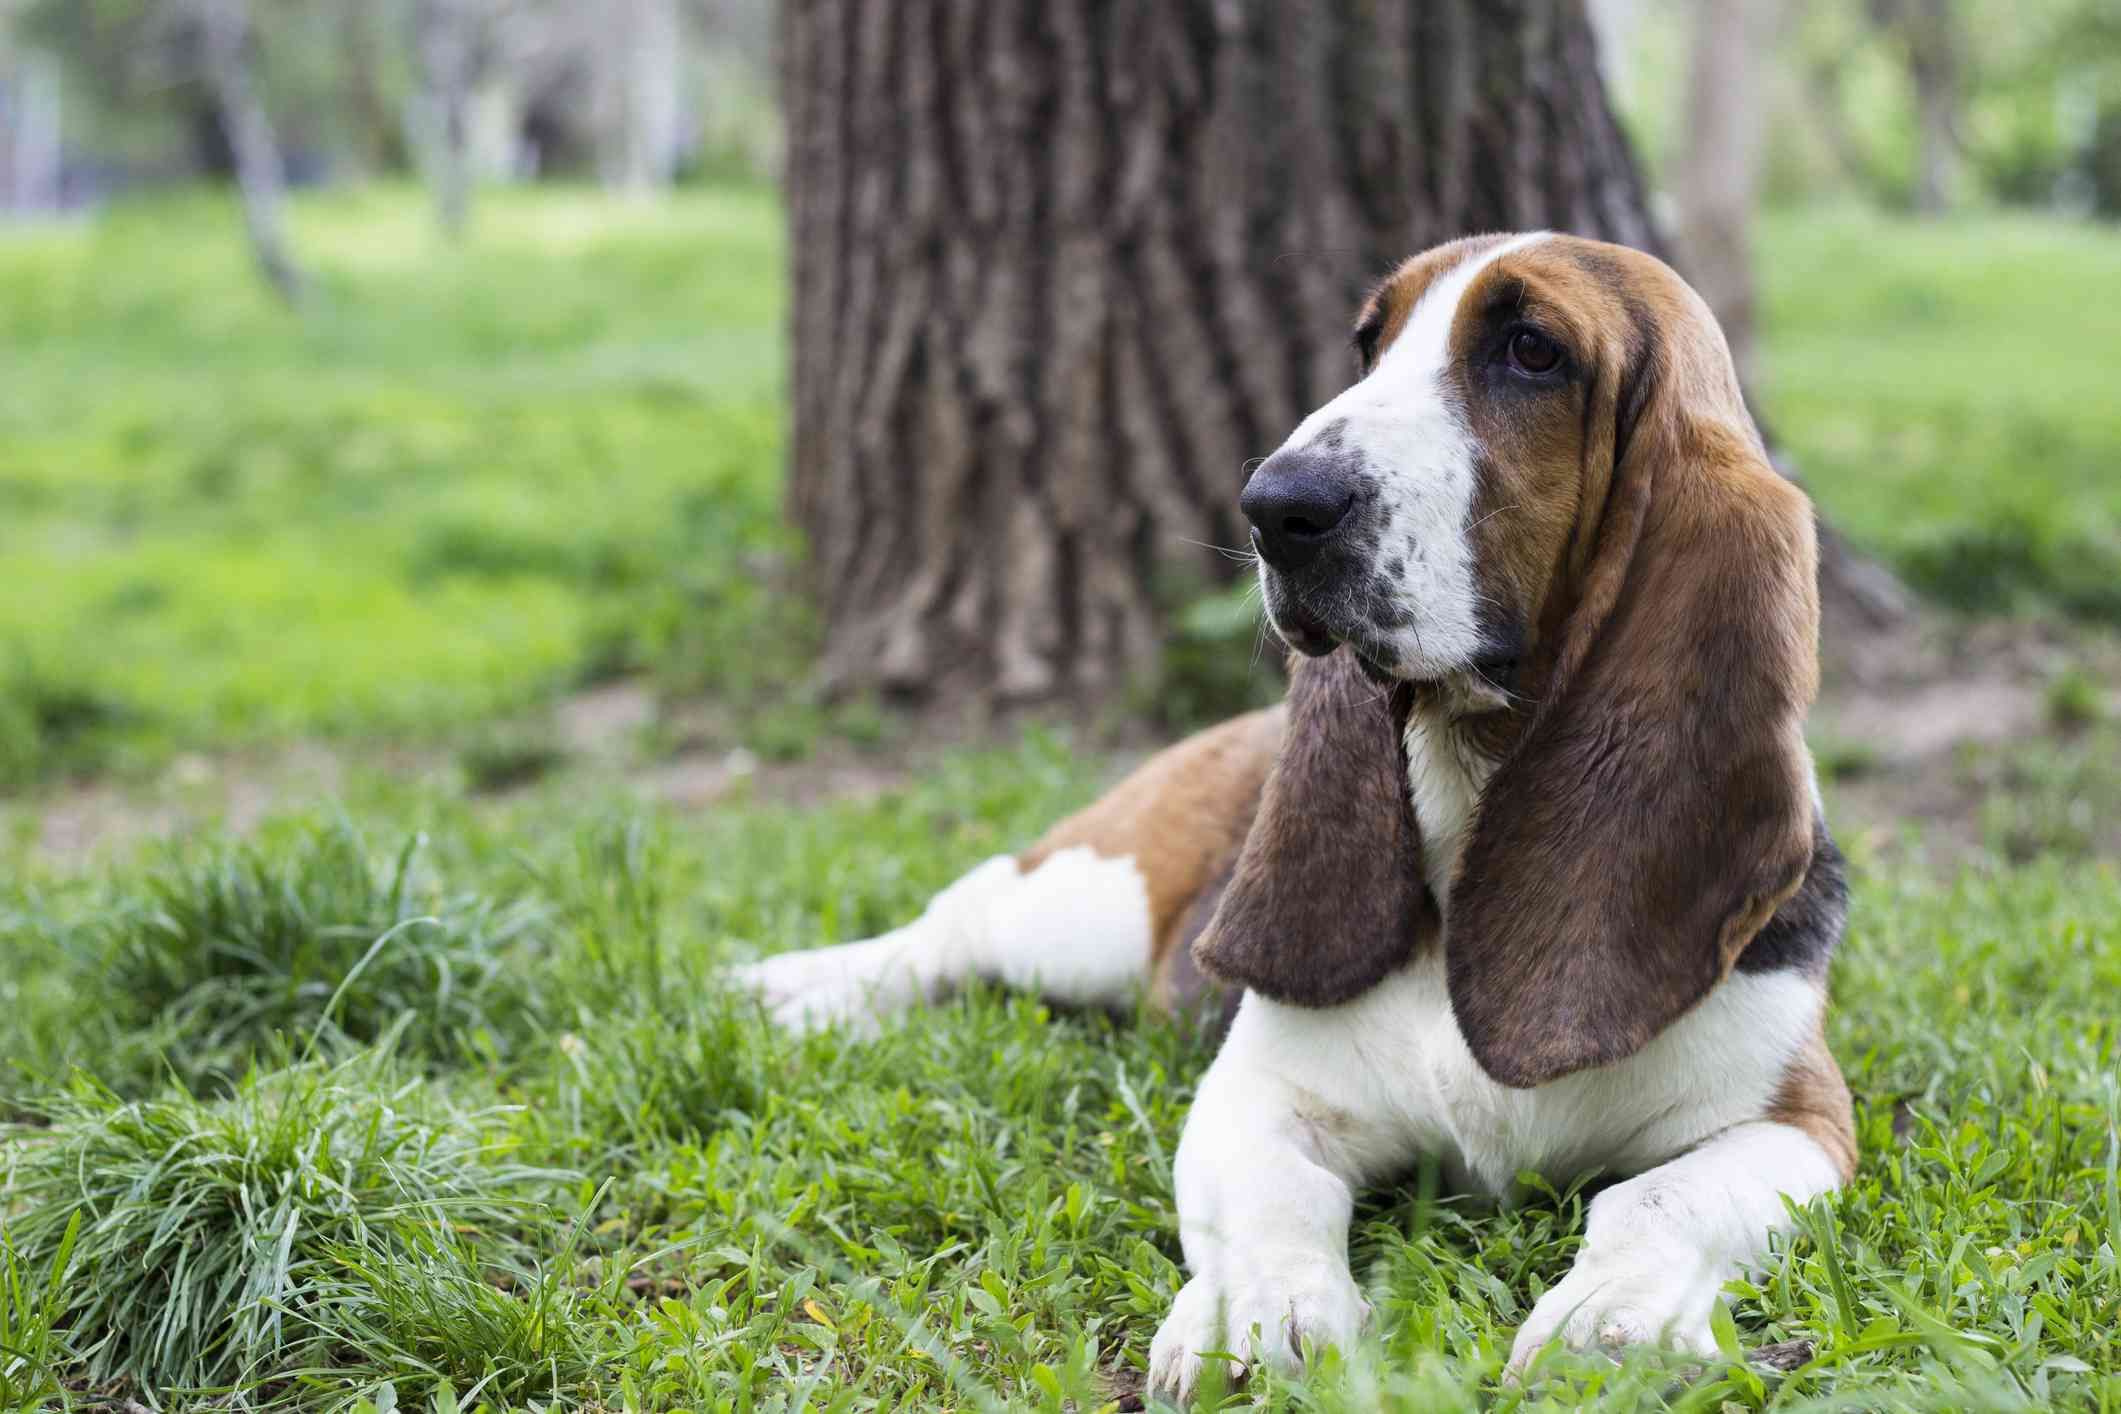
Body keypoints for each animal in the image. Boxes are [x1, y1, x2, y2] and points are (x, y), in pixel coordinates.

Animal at [733, 235, 1857, 1407]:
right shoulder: (1257, 1092)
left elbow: (1656, 1198)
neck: (1465, 782)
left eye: (1532, 351)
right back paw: (795, 990)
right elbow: (1278, 1194)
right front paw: (1260, 1309)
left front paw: (1612, 1324)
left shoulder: (1798, 1123)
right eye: (1370, 343)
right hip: (1087, 906)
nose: (1273, 505)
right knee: (957, 920)